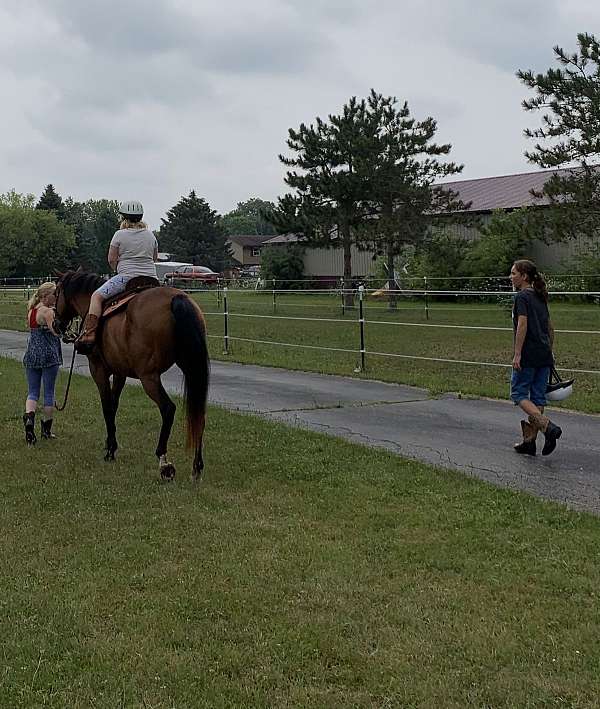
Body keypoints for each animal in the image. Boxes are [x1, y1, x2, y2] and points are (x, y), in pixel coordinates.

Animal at [54, 272, 209, 482]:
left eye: (56, 293)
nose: (56, 323)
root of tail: (178, 298)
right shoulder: (120, 372)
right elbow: (114, 405)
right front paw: (110, 445)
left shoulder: (98, 369)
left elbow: (107, 407)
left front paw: (110, 450)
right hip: (190, 366)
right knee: (198, 412)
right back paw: (196, 467)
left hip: (148, 377)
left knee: (168, 409)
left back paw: (164, 462)